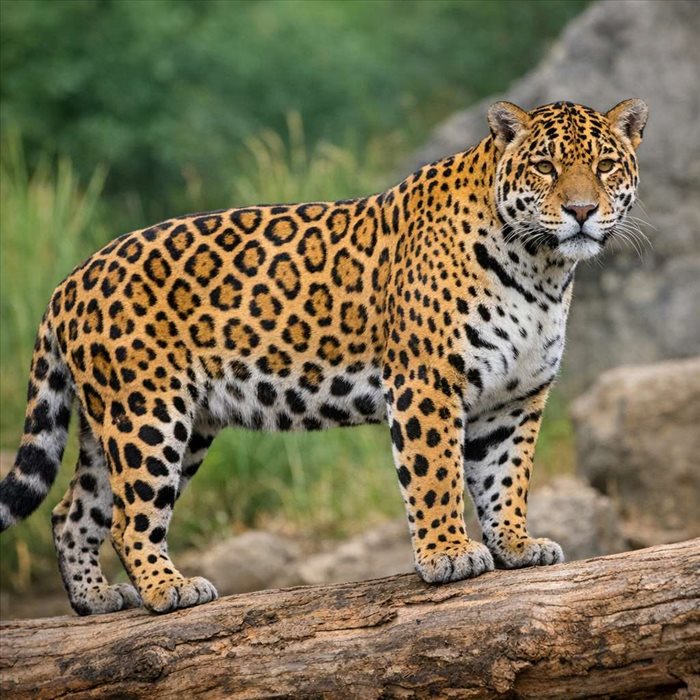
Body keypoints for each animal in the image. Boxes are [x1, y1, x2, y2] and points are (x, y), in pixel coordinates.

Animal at [0, 99, 648, 615]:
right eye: (545, 167)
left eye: (605, 165)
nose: (582, 211)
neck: (543, 271)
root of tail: (68, 282)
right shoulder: (428, 383)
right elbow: (435, 475)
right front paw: (448, 554)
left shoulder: (516, 398)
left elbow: (506, 477)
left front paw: (516, 544)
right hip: (147, 415)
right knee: (129, 519)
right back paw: (168, 589)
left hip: (142, 423)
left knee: (73, 512)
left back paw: (95, 599)